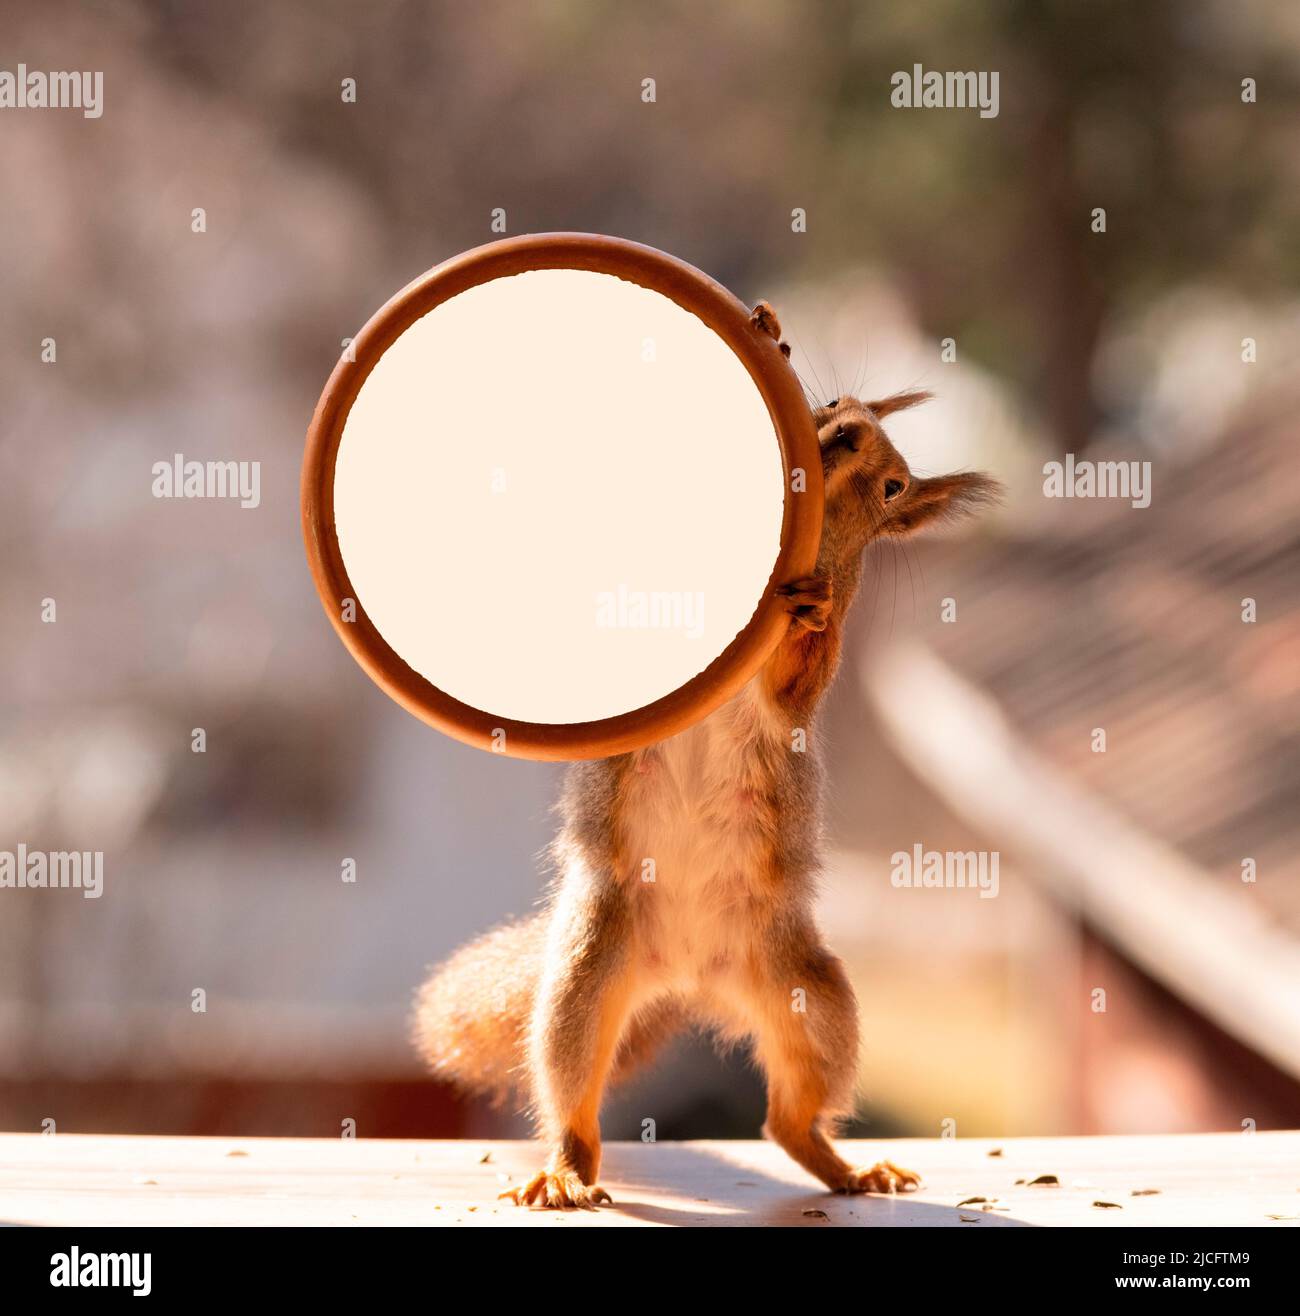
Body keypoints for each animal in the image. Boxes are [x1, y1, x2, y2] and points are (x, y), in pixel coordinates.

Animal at [413, 302, 1000, 1209]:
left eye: (895, 487)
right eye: (836, 404)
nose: (848, 435)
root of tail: (687, 979)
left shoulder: (798, 692)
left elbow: (797, 684)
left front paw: (813, 611)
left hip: (811, 996)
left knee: (789, 1117)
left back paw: (848, 1166)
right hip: (585, 977)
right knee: (572, 1095)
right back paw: (565, 1172)